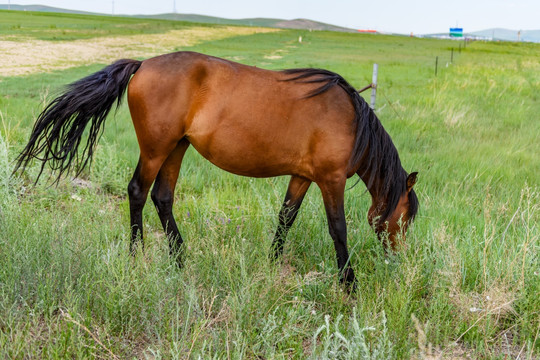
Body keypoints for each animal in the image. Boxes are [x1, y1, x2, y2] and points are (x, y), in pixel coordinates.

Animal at [11, 50, 418, 288]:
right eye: (404, 218)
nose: (397, 258)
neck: (351, 122)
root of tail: (143, 65)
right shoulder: (329, 180)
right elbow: (338, 229)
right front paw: (348, 281)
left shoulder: (302, 176)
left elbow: (286, 217)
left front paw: (272, 262)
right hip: (157, 148)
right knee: (138, 192)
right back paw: (137, 254)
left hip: (177, 147)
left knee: (163, 197)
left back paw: (179, 258)